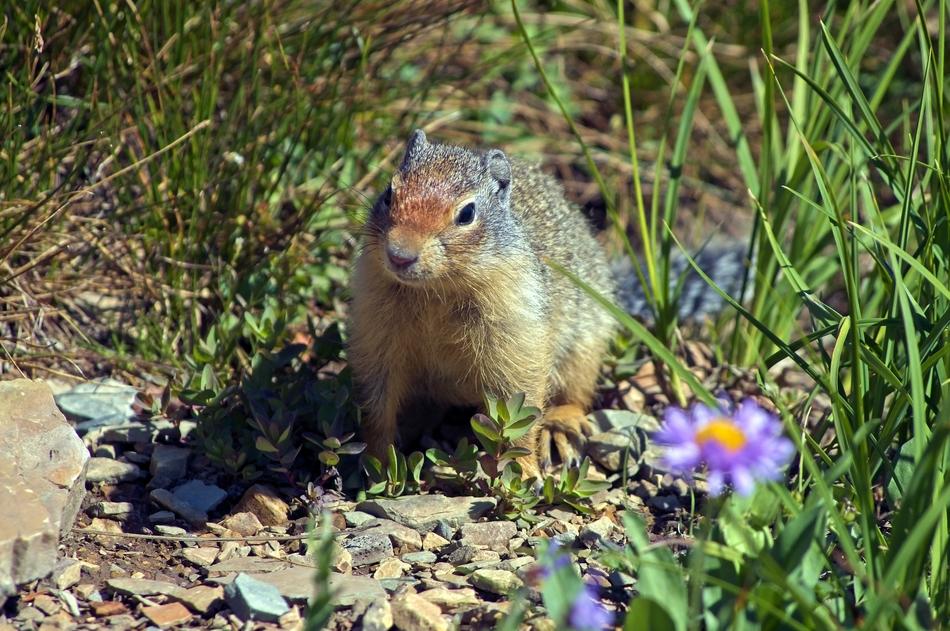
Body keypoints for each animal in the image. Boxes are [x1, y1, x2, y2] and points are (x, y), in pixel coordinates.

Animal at [347, 129, 750, 477]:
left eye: (467, 213)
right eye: (389, 193)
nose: (399, 255)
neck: (435, 292)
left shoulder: (514, 335)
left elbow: (518, 410)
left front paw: (523, 471)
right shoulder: (375, 330)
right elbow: (376, 403)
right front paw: (378, 460)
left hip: (582, 350)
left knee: (577, 394)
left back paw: (559, 427)